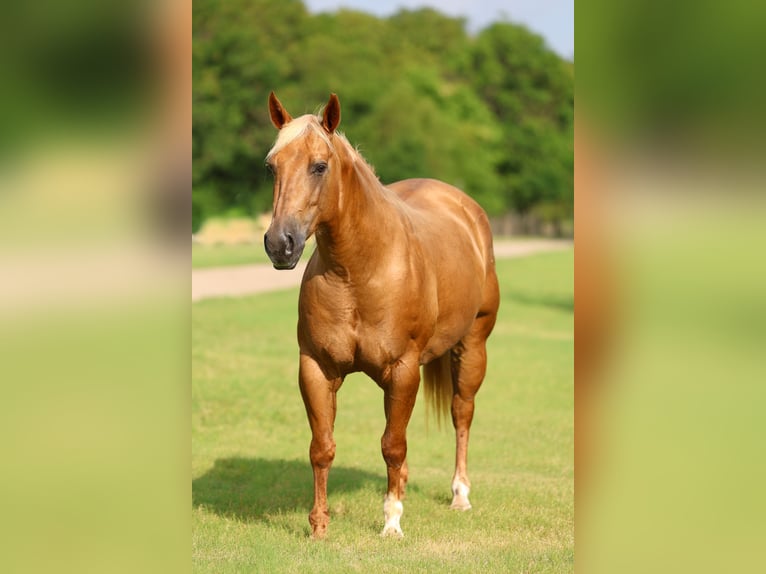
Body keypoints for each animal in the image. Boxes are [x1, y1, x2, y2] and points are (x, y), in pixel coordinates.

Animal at [263, 92, 500, 538]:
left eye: (319, 165)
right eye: (272, 166)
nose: (280, 244)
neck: (358, 272)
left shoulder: (402, 369)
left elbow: (392, 444)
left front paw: (392, 522)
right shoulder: (316, 368)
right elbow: (322, 447)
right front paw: (318, 525)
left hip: (472, 347)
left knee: (462, 414)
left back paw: (460, 495)